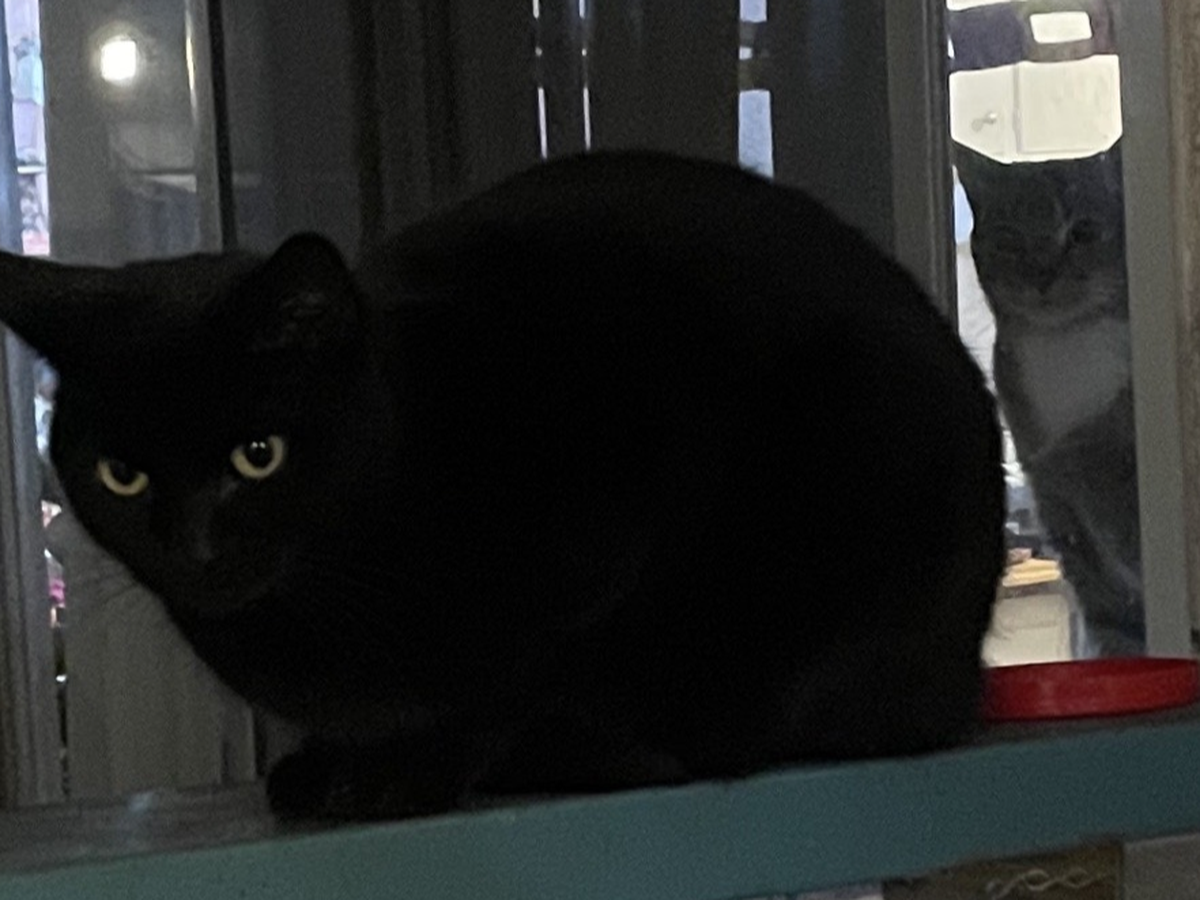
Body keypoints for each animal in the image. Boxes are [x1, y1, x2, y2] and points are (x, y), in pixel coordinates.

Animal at [0, 150, 1005, 820]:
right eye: (123, 475)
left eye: (259, 454)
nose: (195, 549)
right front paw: (336, 759)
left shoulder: (610, 515)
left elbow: (506, 682)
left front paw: (408, 771)